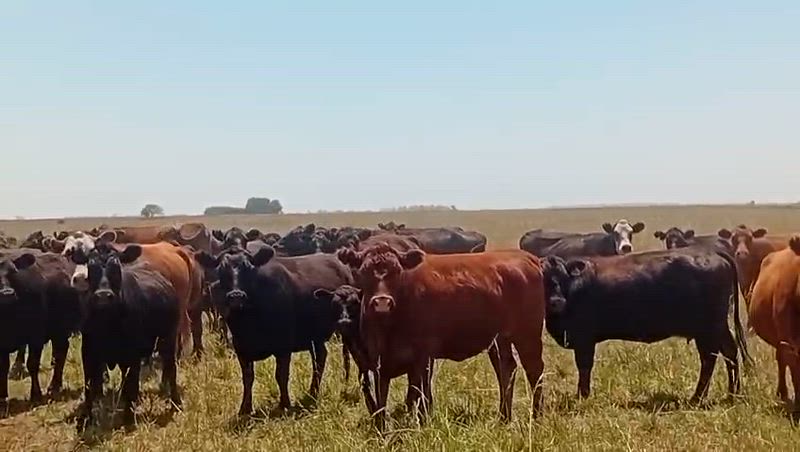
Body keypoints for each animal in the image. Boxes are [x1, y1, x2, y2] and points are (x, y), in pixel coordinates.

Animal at [0, 250, 82, 409]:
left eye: (13, 272)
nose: (7, 293)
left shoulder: (35, 337)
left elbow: (32, 364)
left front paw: (36, 394)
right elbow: (3, 368)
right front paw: (2, 398)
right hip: (59, 330)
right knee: (60, 353)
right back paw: (55, 386)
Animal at [72, 243, 181, 431]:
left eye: (116, 268)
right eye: (91, 268)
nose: (103, 296)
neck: (108, 323)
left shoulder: (132, 355)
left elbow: (131, 385)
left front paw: (128, 418)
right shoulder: (88, 352)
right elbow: (89, 387)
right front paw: (86, 418)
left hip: (168, 338)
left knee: (170, 368)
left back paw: (175, 402)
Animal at [194, 246, 354, 415]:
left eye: (249, 268)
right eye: (221, 271)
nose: (236, 296)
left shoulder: (283, 346)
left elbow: (281, 375)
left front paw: (284, 404)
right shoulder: (240, 347)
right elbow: (248, 378)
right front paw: (245, 408)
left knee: (344, 356)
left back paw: (342, 382)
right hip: (314, 337)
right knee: (320, 358)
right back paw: (313, 392)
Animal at [337, 244, 545, 429]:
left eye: (397, 272)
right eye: (364, 272)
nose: (382, 302)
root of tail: (527, 257)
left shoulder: (422, 357)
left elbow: (420, 394)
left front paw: (422, 424)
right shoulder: (379, 362)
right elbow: (381, 400)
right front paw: (381, 431)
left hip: (528, 335)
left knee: (534, 371)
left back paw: (536, 417)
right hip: (500, 340)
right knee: (506, 370)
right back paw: (503, 418)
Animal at [540, 247, 750, 402]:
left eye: (562, 276)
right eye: (541, 278)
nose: (556, 301)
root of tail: (712, 252)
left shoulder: (584, 338)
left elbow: (584, 366)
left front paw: (582, 396)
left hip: (710, 327)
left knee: (714, 356)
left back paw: (702, 397)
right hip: (713, 328)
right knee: (724, 354)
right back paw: (730, 394)